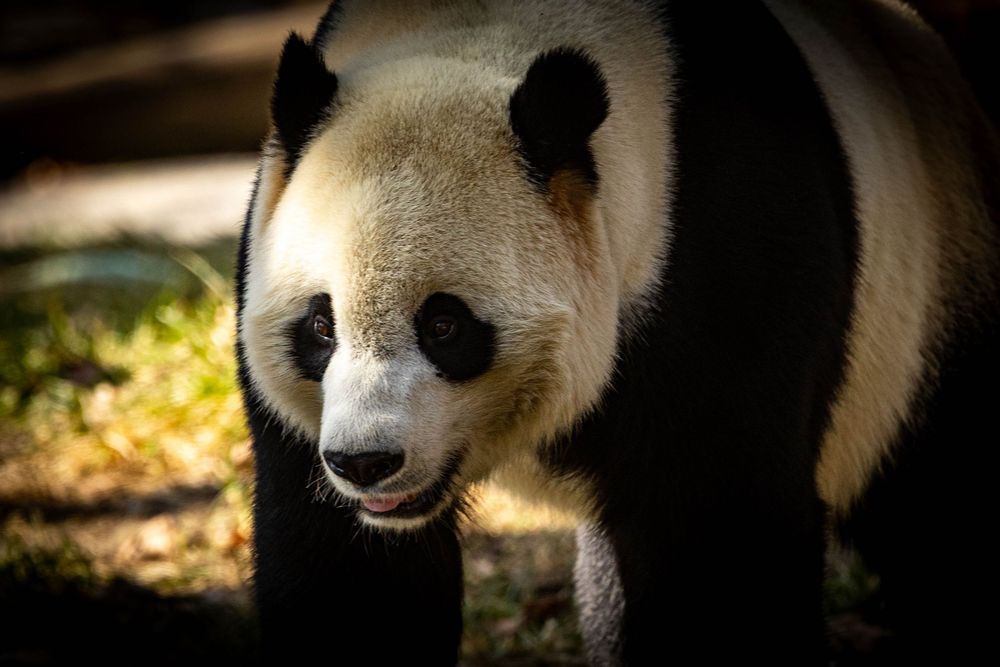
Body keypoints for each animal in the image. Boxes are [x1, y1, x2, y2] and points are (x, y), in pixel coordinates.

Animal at [235, 0, 999, 663]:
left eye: (444, 324)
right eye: (321, 325)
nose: (366, 462)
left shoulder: (725, 253)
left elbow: (715, 540)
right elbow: (344, 569)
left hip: (923, 307)